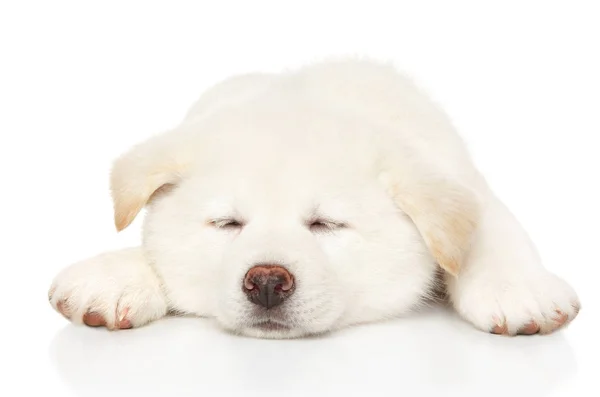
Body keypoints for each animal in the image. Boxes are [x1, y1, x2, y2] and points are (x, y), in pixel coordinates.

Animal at [48, 58, 580, 338]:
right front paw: (117, 275)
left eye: (326, 224)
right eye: (227, 224)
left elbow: (488, 229)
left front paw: (515, 288)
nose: (266, 281)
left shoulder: (461, 177)